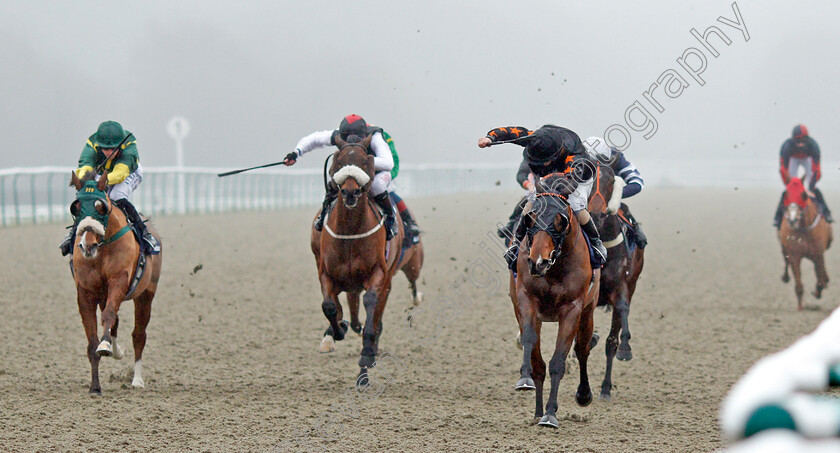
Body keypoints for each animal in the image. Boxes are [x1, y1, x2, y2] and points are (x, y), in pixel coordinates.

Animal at [69, 171, 162, 394]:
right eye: (76, 206)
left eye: (101, 206)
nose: (88, 245)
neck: (102, 248)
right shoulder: (86, 292)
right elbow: (92, 340)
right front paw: (95, 386)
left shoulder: (119, 280)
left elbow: (110, 316)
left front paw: (105, 346)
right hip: (104, 295)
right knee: (115, 322)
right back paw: (116, 350)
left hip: (146, 294)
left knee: (138, 335)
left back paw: (137, 380)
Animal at [310, 133, 424, 382]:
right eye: (339, 161)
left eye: (364, 162)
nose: (350, 192)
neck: (350, 231)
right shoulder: (326, 272)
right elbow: (329, 306)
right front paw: (336, 331)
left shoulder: (378, 274)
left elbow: (371, 305)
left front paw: (366, 357)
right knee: (348, 306)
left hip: (405, 267)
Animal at [508, 174, 600, 428]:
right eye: (530, 218)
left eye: (561, 221)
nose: (537, 262)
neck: (554, 268)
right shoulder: (526, 301)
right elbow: (531, 348)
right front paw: (527, 382)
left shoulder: (572, 309)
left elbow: (558, 361)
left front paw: (550, 414)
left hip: (588, 311)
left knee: (582, 349)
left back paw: (583, 394)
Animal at [776, 175, 832, 308]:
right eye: (786, 194)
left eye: (803, 194)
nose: (792, 219)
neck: (803, 230)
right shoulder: (794, 255)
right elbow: (799, 286)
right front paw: (800, 308)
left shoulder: (818, 254)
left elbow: (820, 277)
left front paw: (818, 291)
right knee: (786, 260)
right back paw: (785, 276)